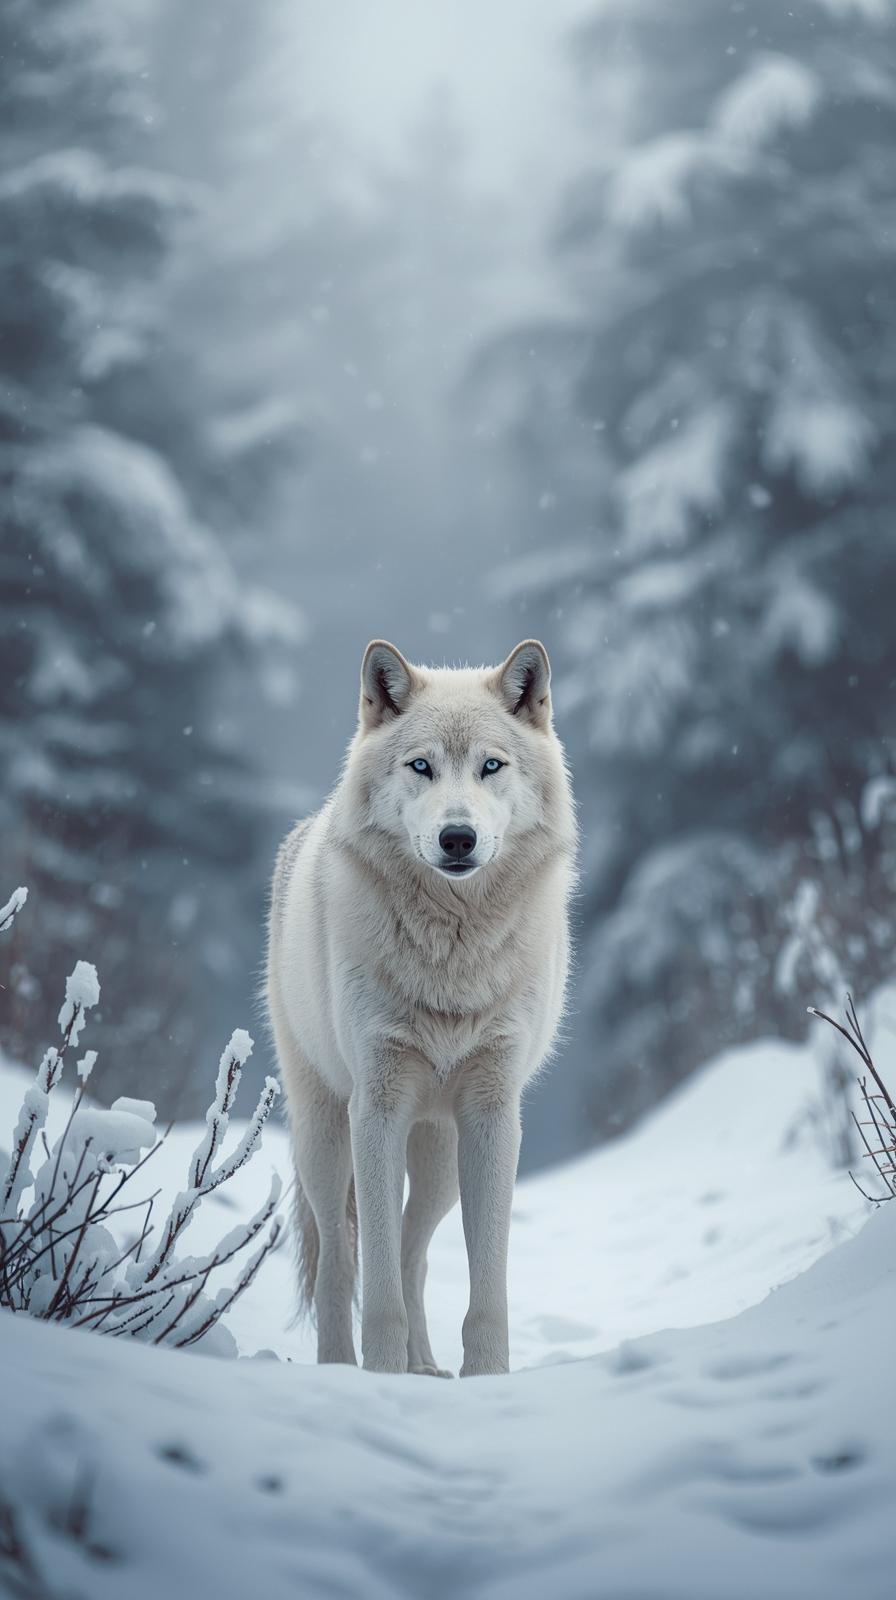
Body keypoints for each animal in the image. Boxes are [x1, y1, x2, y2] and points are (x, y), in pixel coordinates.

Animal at [266, 638, 576, 1376]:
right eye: (421, 766)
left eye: (490, 765)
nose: (457, 837)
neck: (452, 955)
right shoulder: (375, 1111)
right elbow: (373, 1280)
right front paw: (379, 1374)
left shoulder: (494, 1118)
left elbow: (484, 1281)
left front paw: (485, 1376)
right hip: (326, 1138)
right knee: (341, 1258)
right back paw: (340, 1367)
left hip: (440, 1157)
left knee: (414, 1250)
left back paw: (425, 1367)